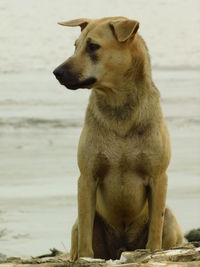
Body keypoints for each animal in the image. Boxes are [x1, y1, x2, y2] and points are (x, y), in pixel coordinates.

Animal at [53, 15, 183, 260]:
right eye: (75, 46)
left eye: (93, 46)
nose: (57, 72)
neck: (118, 105)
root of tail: (121, 248)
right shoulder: (87, 178)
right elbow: (86, 234)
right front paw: (85, 257)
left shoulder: (158, 177)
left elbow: (155, 228)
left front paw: (152, 251)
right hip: (81, 224)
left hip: (170, 217)